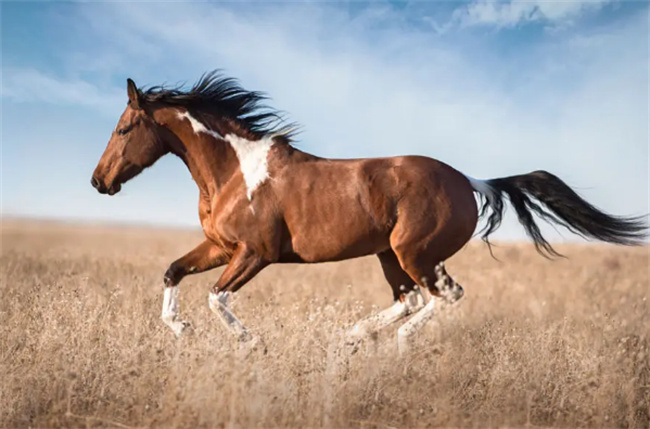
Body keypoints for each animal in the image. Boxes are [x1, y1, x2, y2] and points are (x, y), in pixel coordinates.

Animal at [90, 71, 644, 352]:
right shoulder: (220, 246)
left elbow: (216, 298)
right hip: (388, 255)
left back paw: (395, 345)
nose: (99, 182)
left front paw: (251, 343)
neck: (234, 170)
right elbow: (172, 272)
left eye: (123, 128)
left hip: (415, 253)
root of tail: (469, 181)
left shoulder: (255, 252)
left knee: (444, 297)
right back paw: (351, 336)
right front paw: (180, 329)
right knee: (411, 299)